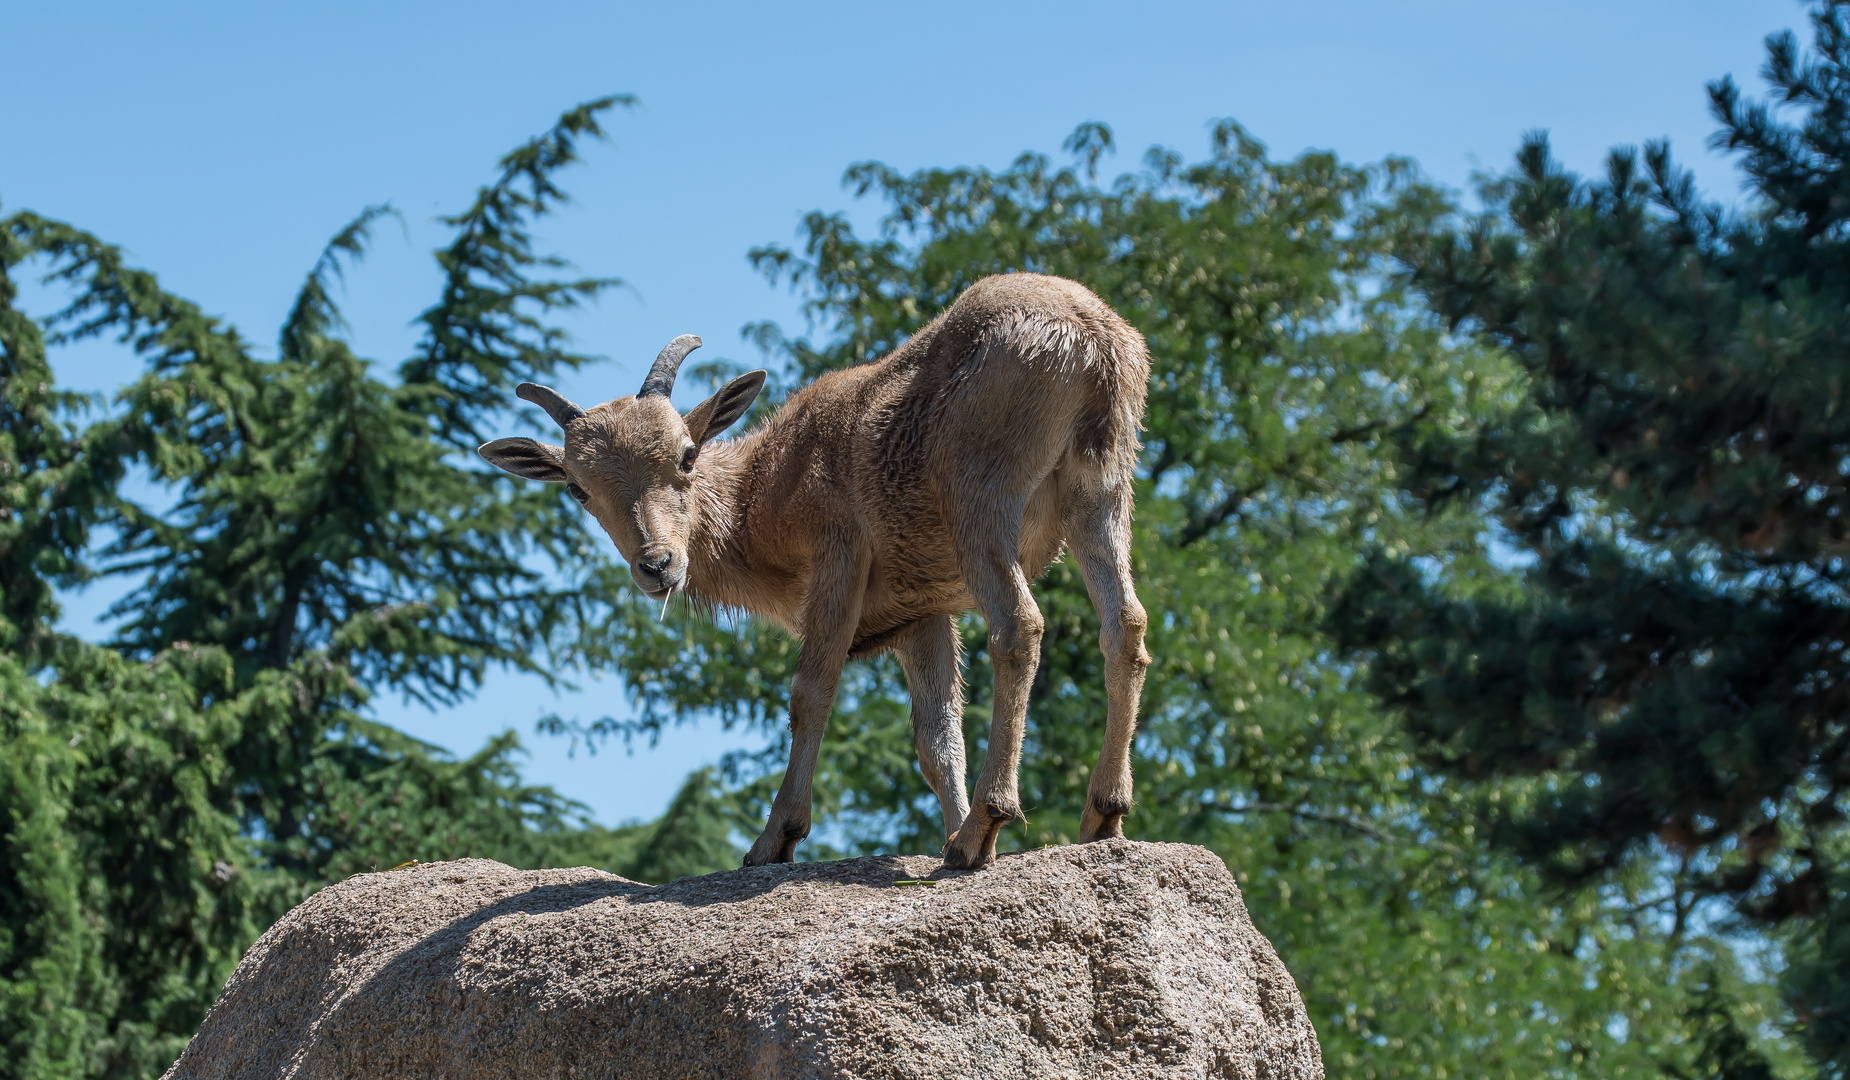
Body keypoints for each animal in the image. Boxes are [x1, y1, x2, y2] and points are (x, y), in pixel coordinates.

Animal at [481, 271, 1139, 869]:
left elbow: (810, 690)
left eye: (687, 455)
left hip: (982, 489)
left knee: (1018, 627)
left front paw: (775, 840)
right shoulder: (920, 613)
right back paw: (1099, 813)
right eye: (577, 488)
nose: (657, 564)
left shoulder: (838, 554)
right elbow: (937, 735)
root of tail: (1093, 342)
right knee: (1125, 624)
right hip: (1099, 490)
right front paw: (949, 832)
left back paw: (987, 823)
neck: (763, 493)